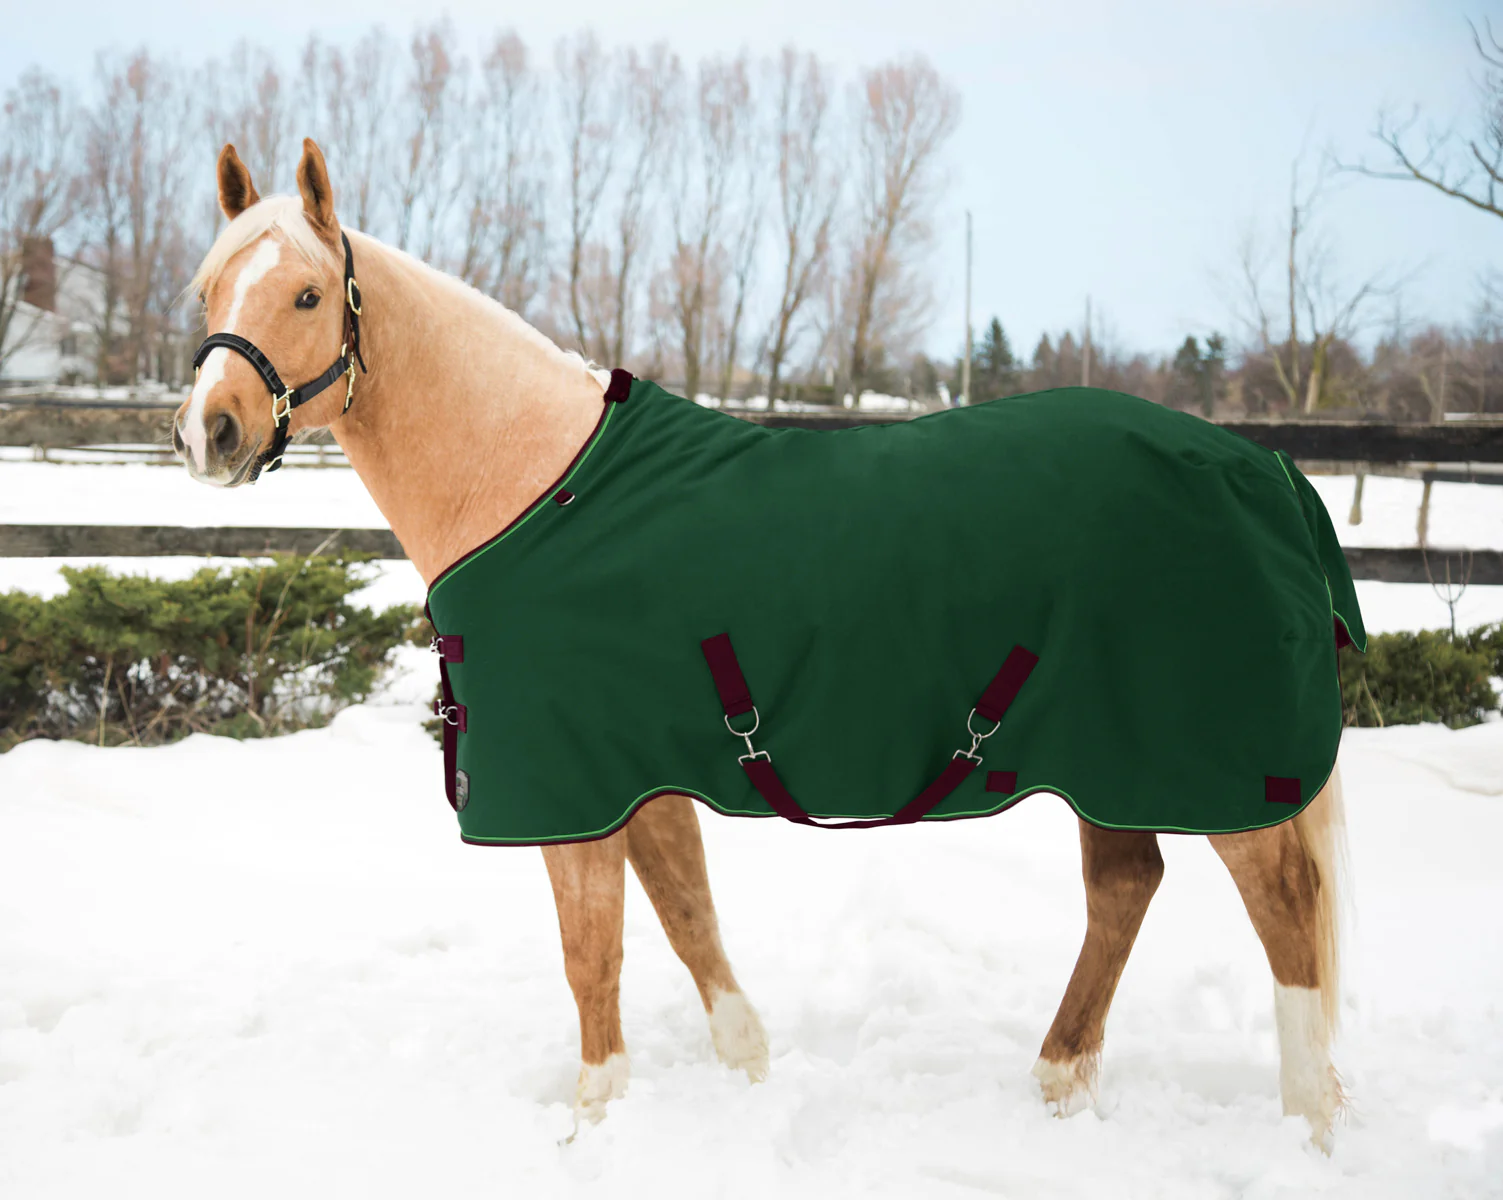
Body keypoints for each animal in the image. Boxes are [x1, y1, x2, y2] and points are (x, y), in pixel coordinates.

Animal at [173, 137, 1349, 1147]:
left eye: (308, 294)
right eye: (207, 291)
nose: (208, 432)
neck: (536, 487)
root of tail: (1264, 470)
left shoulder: (572, 789)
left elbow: (591, 955)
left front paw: (592, 1123)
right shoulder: (634, 772)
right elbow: (687, 917)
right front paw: (746, 1071)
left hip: (1208, 765)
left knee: (1284, 910)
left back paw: (1308, 1126)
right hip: (1111, 759)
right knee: (1126, 886)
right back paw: (1058, 1084)